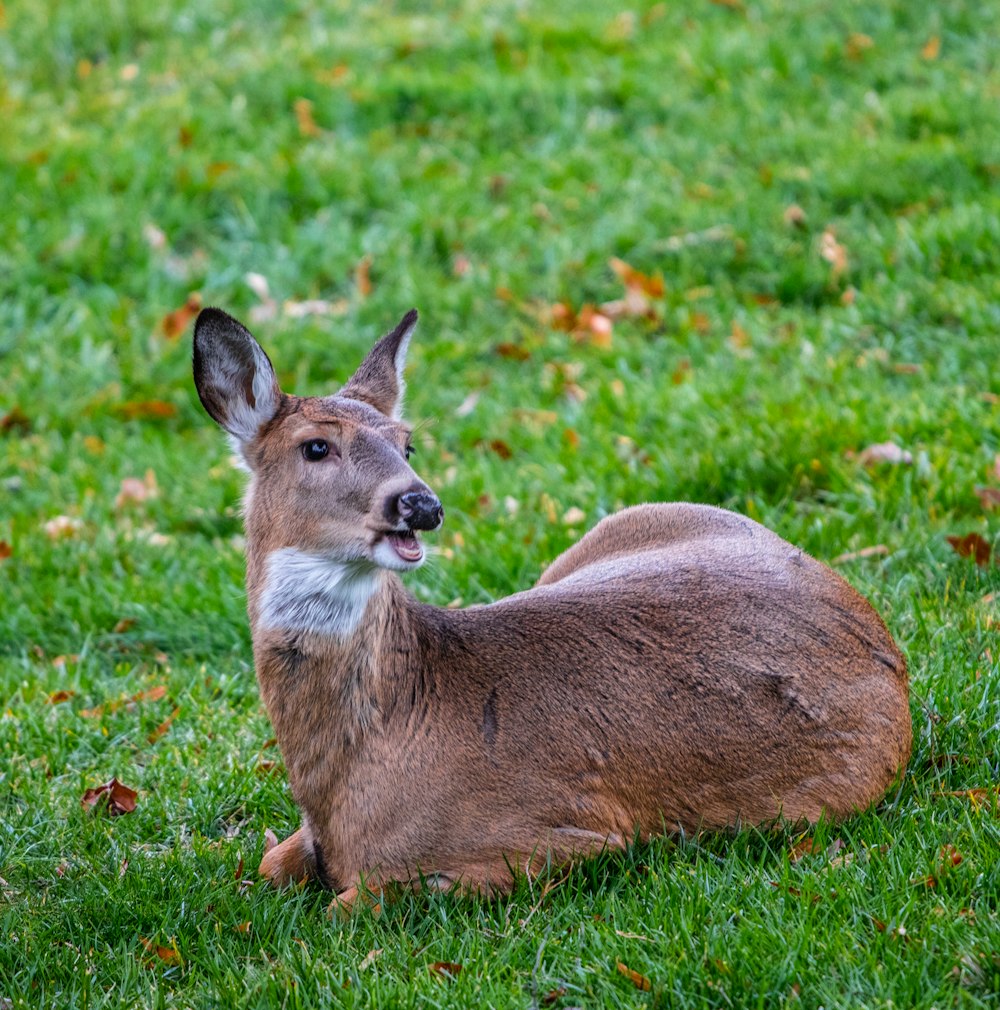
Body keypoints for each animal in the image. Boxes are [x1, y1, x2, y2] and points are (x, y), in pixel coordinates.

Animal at [193, 307, 917, 909]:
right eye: (316, 446)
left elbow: (352, 903)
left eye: (407, 443)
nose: (419, 503)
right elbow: (272, 864)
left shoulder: (562, 833)